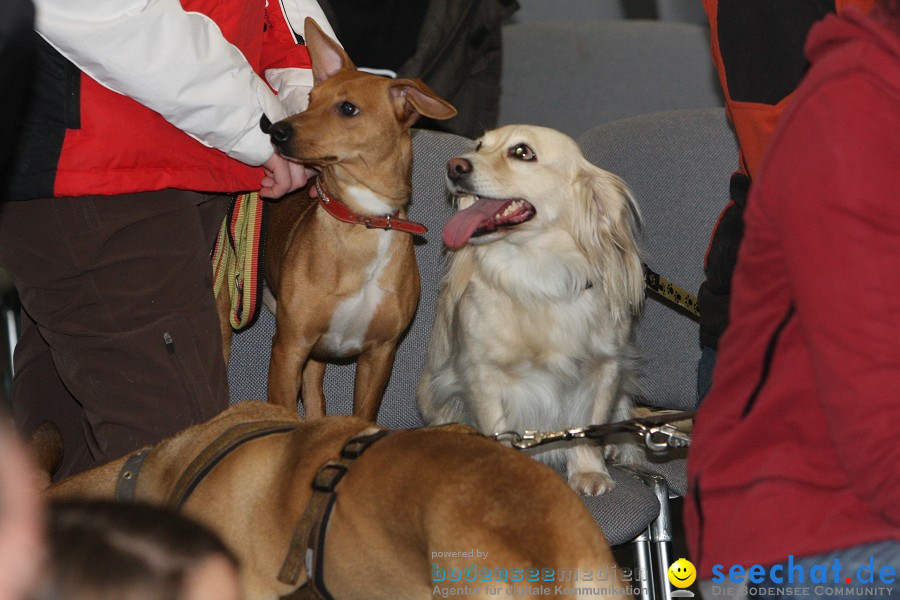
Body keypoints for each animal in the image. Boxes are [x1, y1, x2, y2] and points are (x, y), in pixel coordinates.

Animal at [260, 19, 458, 422]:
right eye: (310, 100)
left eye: (348, 108)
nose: (276, 131)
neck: (362, 222)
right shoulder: (288, 348)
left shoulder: (379, 354)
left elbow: (361, 416)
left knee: (315, 398)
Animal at [418, 124, 644, 494]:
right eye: (478, 146)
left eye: (522, 152)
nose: (454, 166)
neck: (537, 277)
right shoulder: (483, 376)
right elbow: (499, 432)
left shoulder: (606, 369)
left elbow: (589, 428)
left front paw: (589, 471)